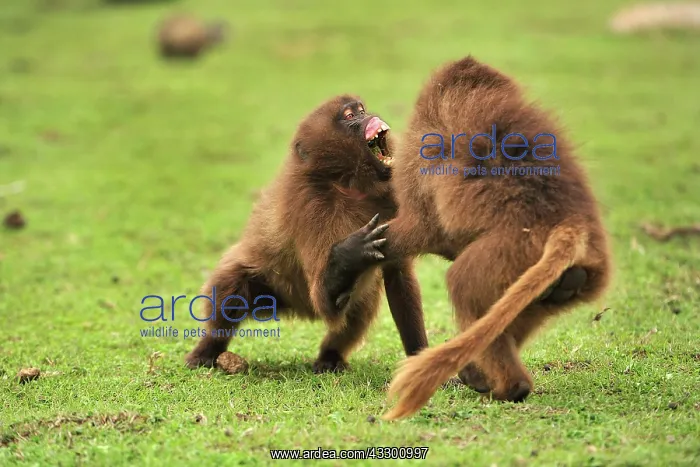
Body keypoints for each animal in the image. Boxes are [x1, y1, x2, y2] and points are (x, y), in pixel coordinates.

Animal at [185, 95, 429, 373]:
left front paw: (420, 358)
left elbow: (397, 276)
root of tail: (298, 308)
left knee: (359, 303)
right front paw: (348, 255)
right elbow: (324, 298)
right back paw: (208, 349)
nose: (369, 116)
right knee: (232, 283)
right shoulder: (311, 205)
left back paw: (330, 355)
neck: (348, 185)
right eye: (350, 116)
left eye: (361, 110)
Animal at [330, 56, 612, 419]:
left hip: (509, 251)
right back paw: (481, 373)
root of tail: (571, 224)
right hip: (567, 271)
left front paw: (350, 256)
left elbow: (422, 228)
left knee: (463, 282)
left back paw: (510, 387)